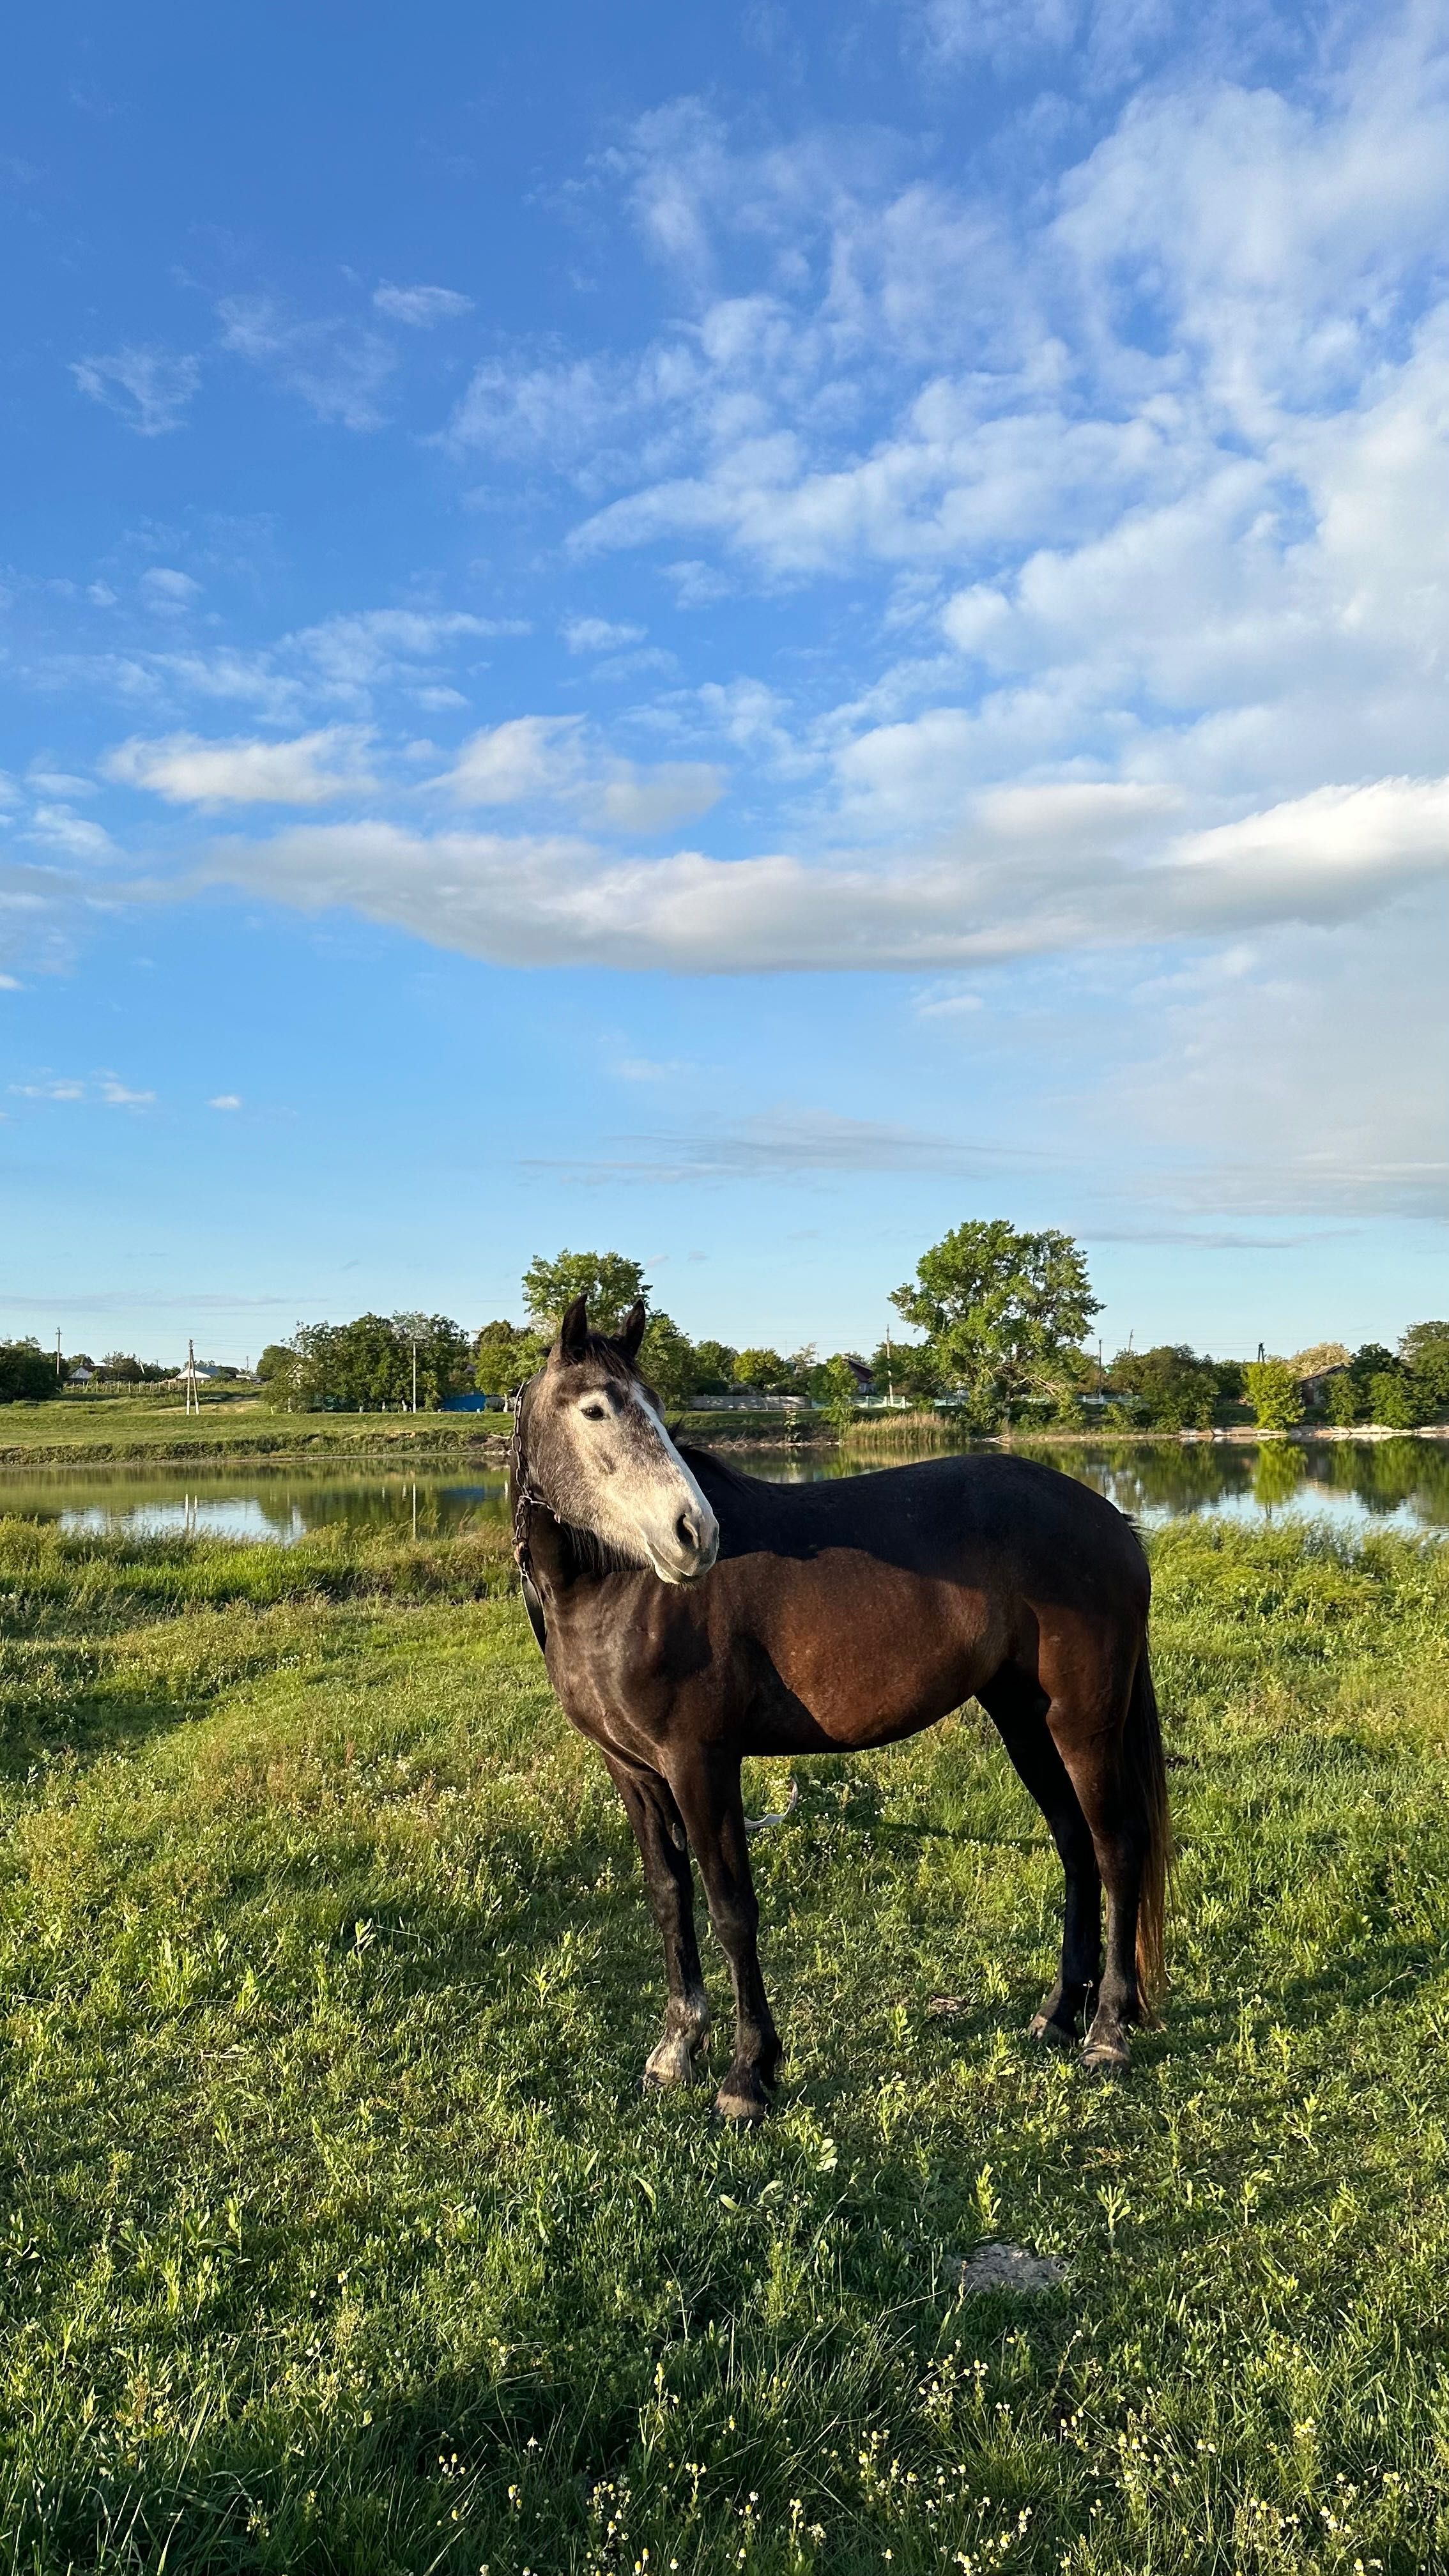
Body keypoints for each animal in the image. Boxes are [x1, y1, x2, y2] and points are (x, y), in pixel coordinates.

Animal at [508, 1298, 1160, 2122]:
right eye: (595, 1408)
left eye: (653, 1405)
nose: (695, 1534)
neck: (617, 1588)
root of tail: (1110, 1519)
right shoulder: (633, 1771)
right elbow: (668, 1898)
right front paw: (675, 2052)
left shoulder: (701, 1763)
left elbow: (731, 1909)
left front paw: (747, 2075)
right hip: (1024, 1721)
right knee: (1075, 1847)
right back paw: (1057, 2015)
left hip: (1082, 1724)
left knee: (1117, 1850)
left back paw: (1108, 2031)